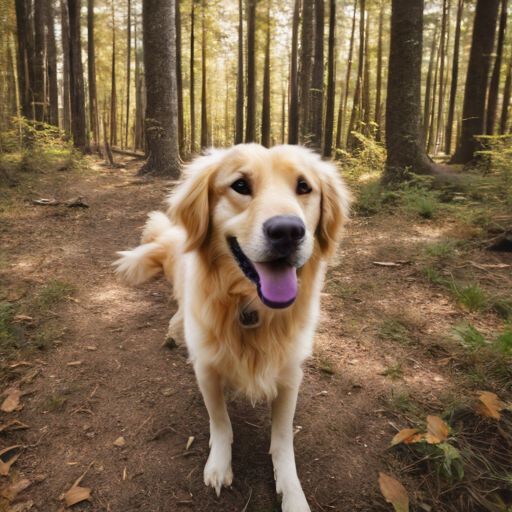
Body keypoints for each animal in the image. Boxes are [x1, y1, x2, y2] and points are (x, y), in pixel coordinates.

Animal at [114, 142, 350, 510]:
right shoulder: (206, 367)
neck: (250, 308)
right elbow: (220, 421)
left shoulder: (289, 373)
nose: (288, 231)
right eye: (240, 185)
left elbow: (283, 439)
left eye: (304, 187)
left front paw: (292, 491)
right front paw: (219, 465)